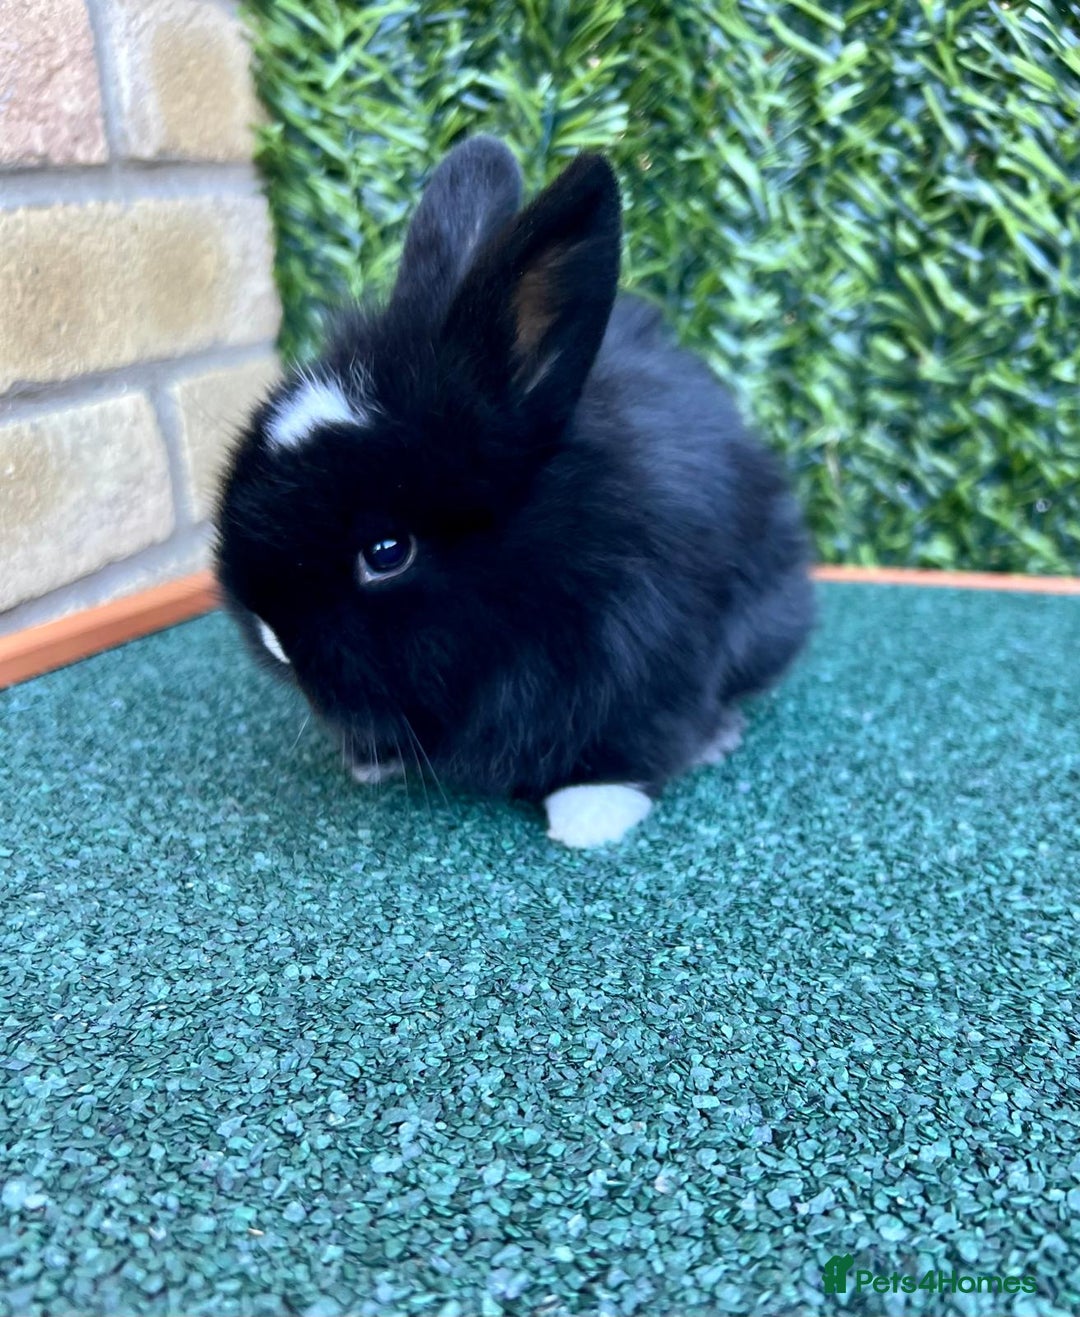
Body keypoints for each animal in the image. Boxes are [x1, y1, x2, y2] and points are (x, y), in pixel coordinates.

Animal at [214, 136, 814, 848]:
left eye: (387, 552)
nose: (271, 634)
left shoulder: (651, 658)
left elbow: (632, 740)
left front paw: (590, 813)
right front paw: (373, 760)